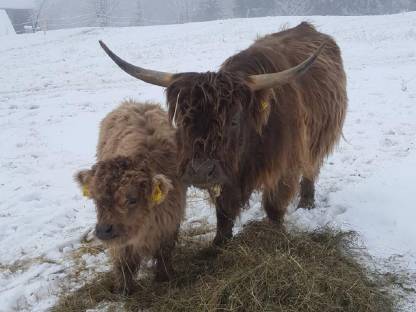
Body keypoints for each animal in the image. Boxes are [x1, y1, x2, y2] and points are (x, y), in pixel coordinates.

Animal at [75, 101, 185, 294]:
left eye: (132, 199)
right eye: (96, 200)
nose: (103, 230)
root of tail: (133, 102)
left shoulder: (170, 224)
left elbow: (164, 254)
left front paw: (164, 277)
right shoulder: (122, 246)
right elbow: (123, 261)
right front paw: (124, 290)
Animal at [99, 21, 346, 246]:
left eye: (234, 120)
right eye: (182, 120)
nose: (199, 171)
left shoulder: (285, 165)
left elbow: (274, 206)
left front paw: (276, 235)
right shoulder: (226, 174)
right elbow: (224, 211)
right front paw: (218, 244)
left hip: (319, 138)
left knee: (312, 166)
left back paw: (307, 202)